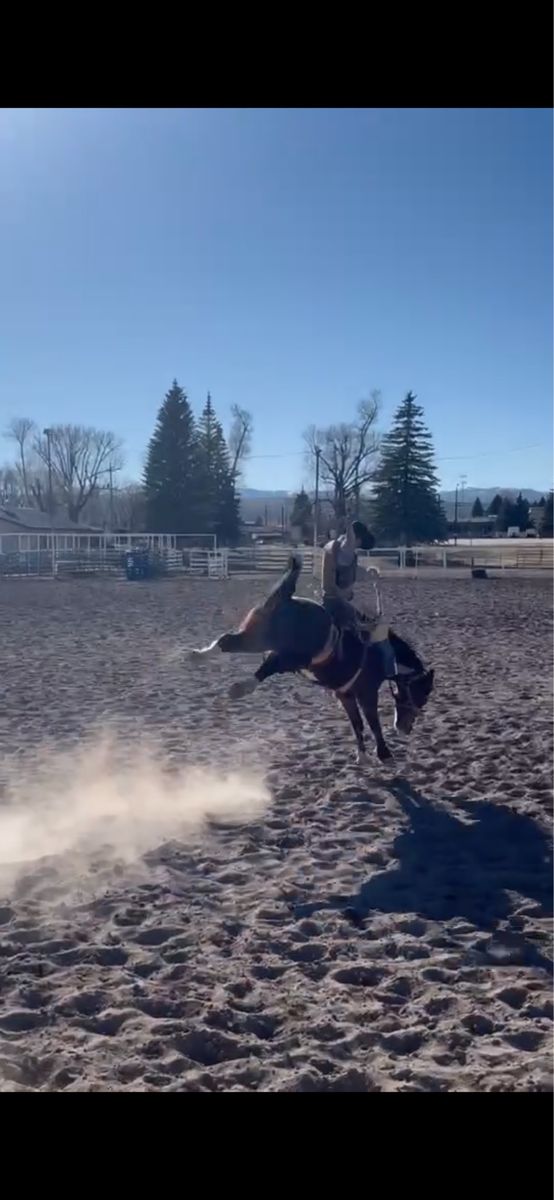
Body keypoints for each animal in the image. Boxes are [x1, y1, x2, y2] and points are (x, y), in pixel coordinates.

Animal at [190, 555, 434, 763]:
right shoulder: (367, 692)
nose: (406, 729)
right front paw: (385, 754)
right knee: (267, 666)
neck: (383, 656)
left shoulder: (345, 694)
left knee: (228, 642)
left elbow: (357, 723)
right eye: (423, 693)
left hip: (258, 636)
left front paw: (363, 756)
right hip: (291, 655)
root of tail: (287, 599)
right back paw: (238, 688)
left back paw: (198, 656)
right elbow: (372, 722)